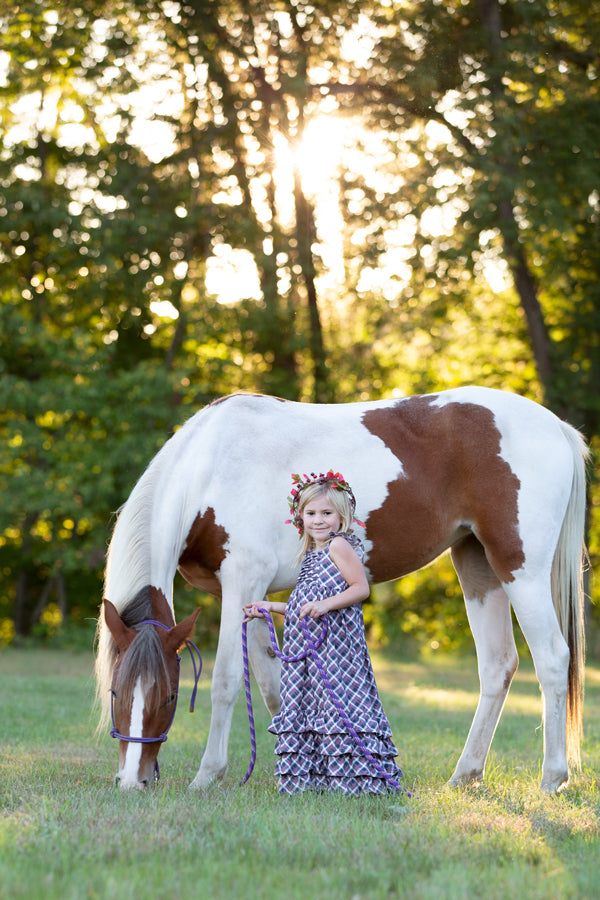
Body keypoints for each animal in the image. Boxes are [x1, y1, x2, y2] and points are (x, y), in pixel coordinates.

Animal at [96, 384, 588, 792]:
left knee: (551, 659)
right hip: (477, 565)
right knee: (498, 665)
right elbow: (272, 683)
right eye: (116, 693)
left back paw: (552, 779)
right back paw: (465, 774)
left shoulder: (241, 583)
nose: (133, 781)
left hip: (519, 569)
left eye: (170, 695)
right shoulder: (251, 595)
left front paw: (208, 775)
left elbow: (227, 681)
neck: (210, 469)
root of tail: (555, 425)